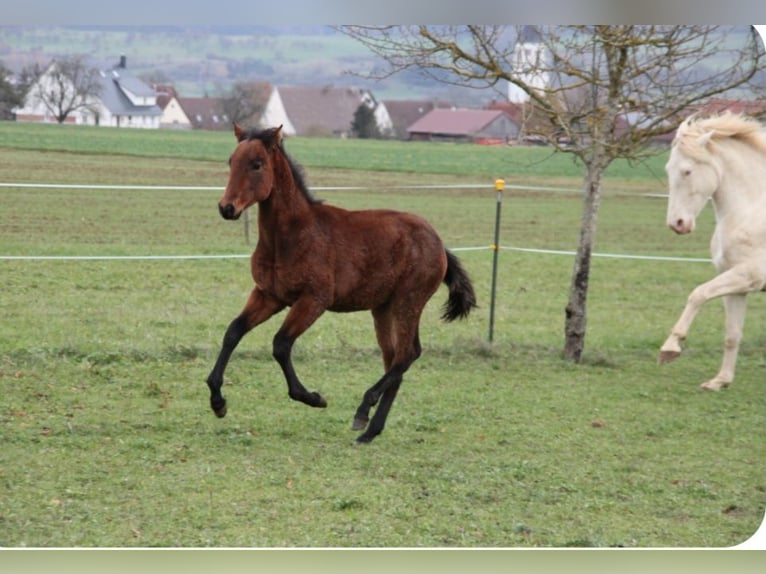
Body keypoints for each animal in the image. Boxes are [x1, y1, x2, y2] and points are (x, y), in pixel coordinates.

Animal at [207, 124, 476, 444]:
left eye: (257, 164)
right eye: (231, 161)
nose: (226, 208)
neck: (291, 236)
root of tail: (438, 242)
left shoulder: (314, 299)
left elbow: (281, 344)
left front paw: (312, 397)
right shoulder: (268, 295)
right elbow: (233, 331)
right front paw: (217, 401)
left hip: (408, 301)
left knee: (408, 354)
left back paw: (362, 410)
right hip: (383, 309)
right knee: (395, 360)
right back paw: (370, 431)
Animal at [660, 112, 766, 392]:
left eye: (687, 171)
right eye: (668, 169)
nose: (677, 224)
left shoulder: (748, 275)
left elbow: (697, 294)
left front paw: (670, 348)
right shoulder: (737, 285)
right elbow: (732, 334)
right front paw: (720, 381)